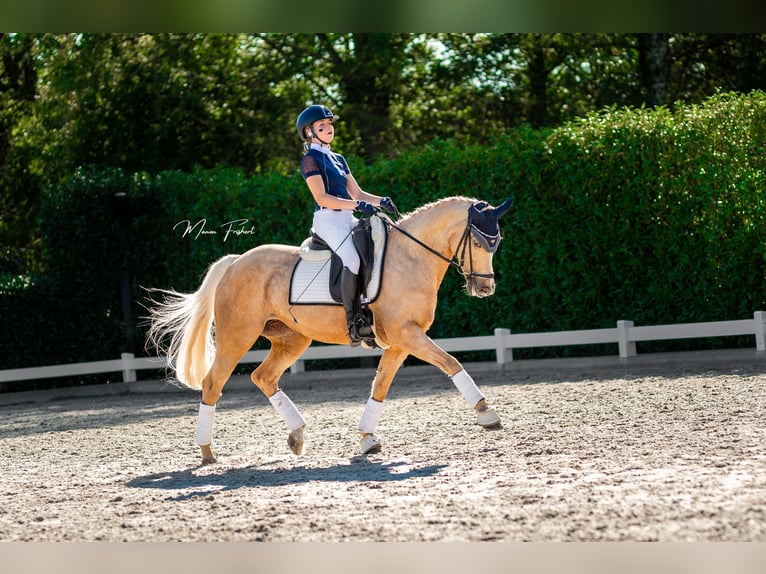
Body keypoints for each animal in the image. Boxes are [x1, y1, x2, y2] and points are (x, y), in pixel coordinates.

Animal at [147, 196, 512, 466]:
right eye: (478, 241)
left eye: (497, 242)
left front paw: (366, 439)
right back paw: (207, 453)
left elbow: (380, 387)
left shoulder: (400, 341)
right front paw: (487, 413)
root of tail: (235, 262)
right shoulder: (407, 334)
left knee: (264, 377)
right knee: (213, 383)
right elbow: (452, 362)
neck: (411, 257)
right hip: (237, 337)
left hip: (292, 339)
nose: (485, 289)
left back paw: (296, 435)